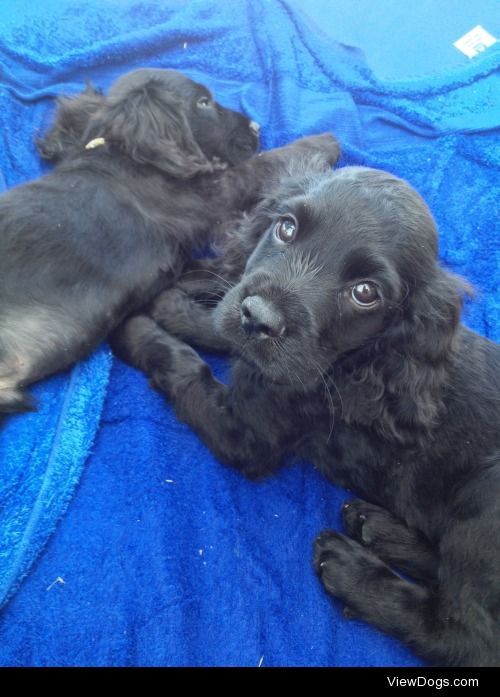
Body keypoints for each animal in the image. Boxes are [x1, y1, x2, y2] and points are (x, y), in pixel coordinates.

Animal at [0, 65, 340, 410]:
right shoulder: (214, 193)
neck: (123, 151)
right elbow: (262, 163)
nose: (257, 126)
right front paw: (325, 142)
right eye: (203, 102)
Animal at [113, 166, 500, 668]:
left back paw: (353, 570)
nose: (258, 318)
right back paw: (380, 530)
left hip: (486, 502)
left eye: (365, 293)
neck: (359, 362)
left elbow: (185, 366)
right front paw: (178, 300)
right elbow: (218, 327)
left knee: (466, 634)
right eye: (286, 228)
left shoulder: (249, 435)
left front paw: (136, 328)